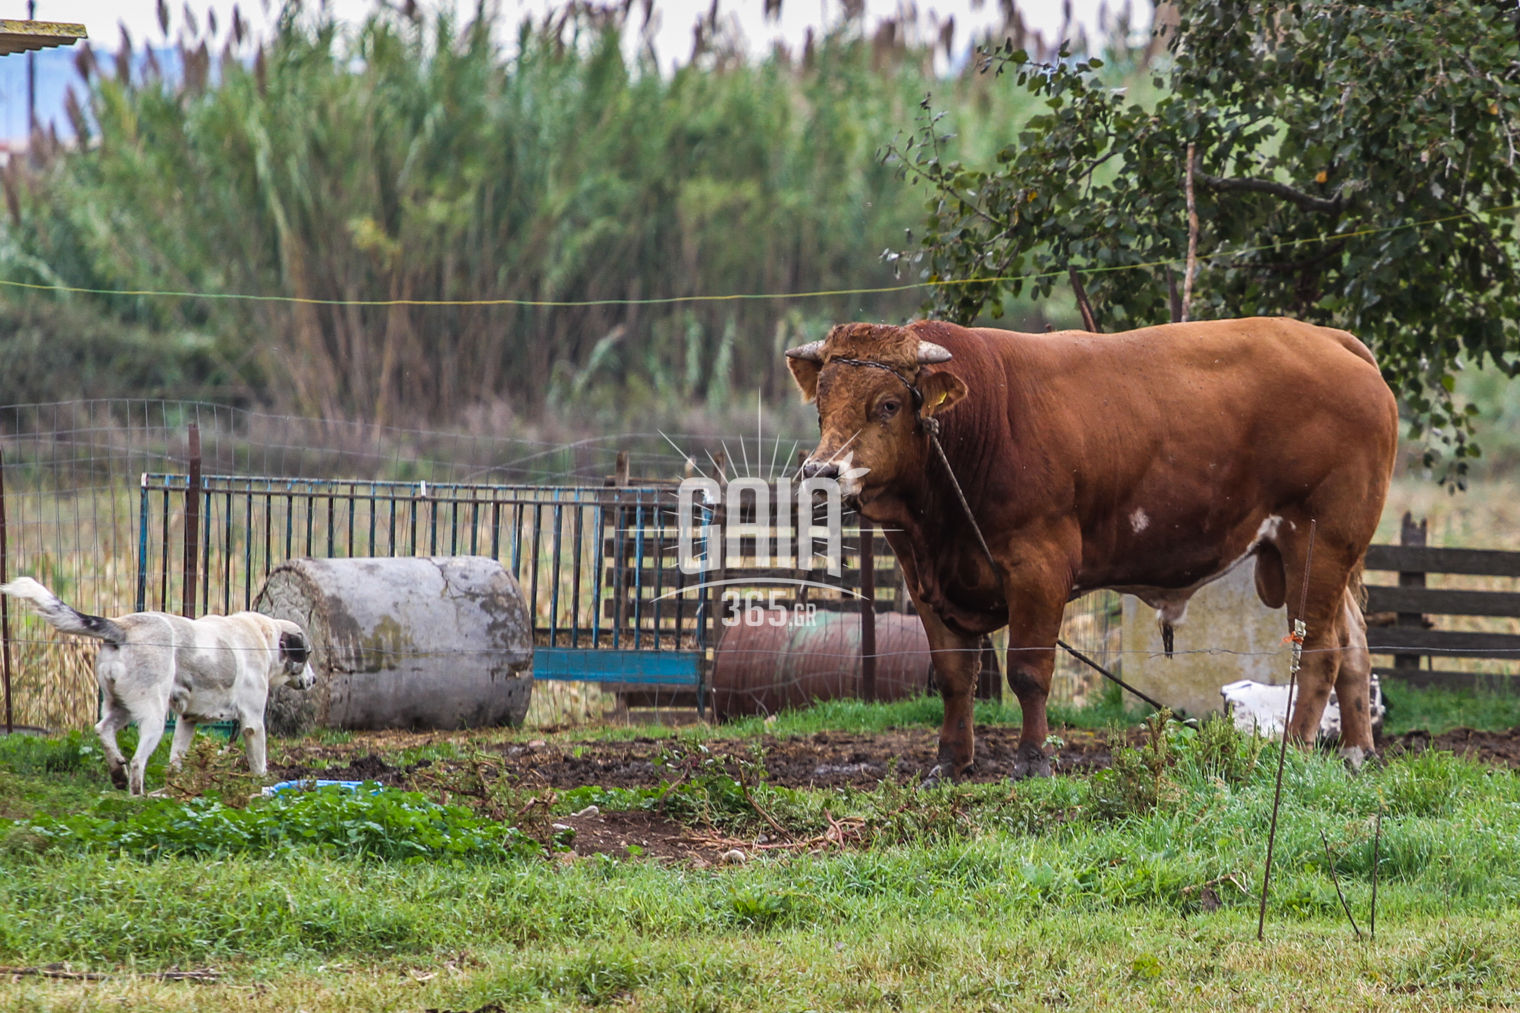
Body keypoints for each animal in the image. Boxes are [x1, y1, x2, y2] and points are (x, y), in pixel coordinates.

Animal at [0, 571, 314, 790]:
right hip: (153, 716)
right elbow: (259, 764)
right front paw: (262, 785)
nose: (314, 680)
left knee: (103, 730)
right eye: (308, 654)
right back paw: (137, 796)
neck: (264, 637)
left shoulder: (187, 721)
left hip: (122, 707)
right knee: (138, 762)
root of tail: (123, 628)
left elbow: (176, 759)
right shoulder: (251, 723)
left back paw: (117, 772)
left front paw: (175, 787)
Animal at [790, 319, 1392, 775]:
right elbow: (955, 677)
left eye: (889, 404)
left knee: (1320, 652)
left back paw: (1296, 748)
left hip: (1318, 542)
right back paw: (1356, 752)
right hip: (1324, 558)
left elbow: (1028, 671)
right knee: (1354, 646)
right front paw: (950, 763)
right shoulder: (925, 582)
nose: (821, 473)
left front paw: (1033, 760)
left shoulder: (1038, 568)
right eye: (820, 406)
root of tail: (1334, 340)